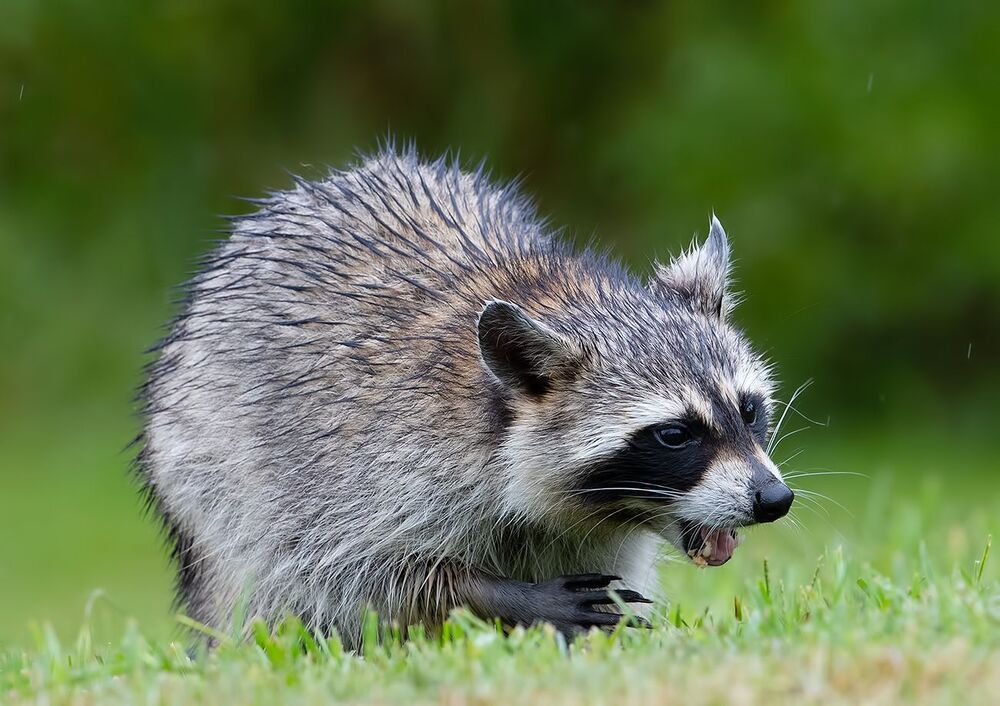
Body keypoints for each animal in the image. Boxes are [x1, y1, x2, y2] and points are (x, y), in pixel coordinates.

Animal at [137, 147, 793, 645]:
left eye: (749, 410)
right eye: (675, 433)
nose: (774, 498)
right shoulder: (365, 463)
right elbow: (353, 571)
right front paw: (500, 595)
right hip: (208, 481)